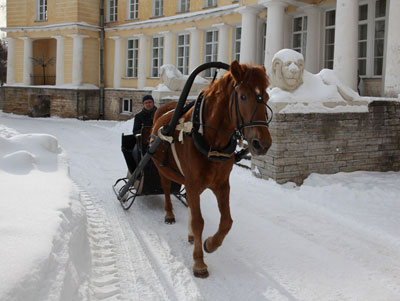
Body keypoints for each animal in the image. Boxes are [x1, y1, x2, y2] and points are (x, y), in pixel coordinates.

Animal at [151, 60, 272, 276]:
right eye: (243, 96)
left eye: (265, 96)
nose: (262, 144)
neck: (208, 138)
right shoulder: (192, 182)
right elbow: (199, 221)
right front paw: (199, 262)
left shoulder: (222, 184)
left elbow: (226, 222)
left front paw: (210, 244)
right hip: (162, 168)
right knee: (165, 188)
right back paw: (169, 213)